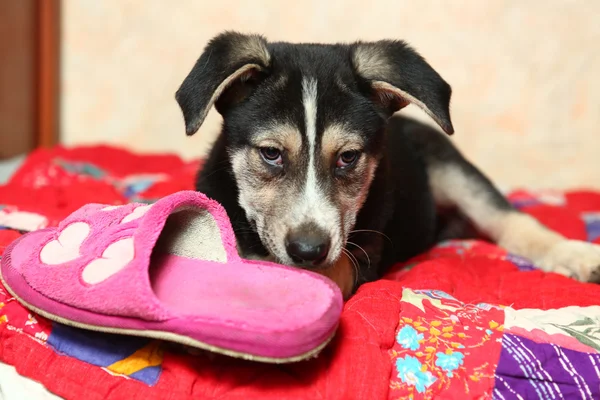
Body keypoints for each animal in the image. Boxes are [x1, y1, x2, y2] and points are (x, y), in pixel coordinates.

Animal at [173, 31, 600, 298]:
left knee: (510, 220)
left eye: (348, 157)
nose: (309, 250)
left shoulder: (358, 257)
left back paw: (576, 255)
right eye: (271, 153)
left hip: (451, 167)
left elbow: (319, 274)